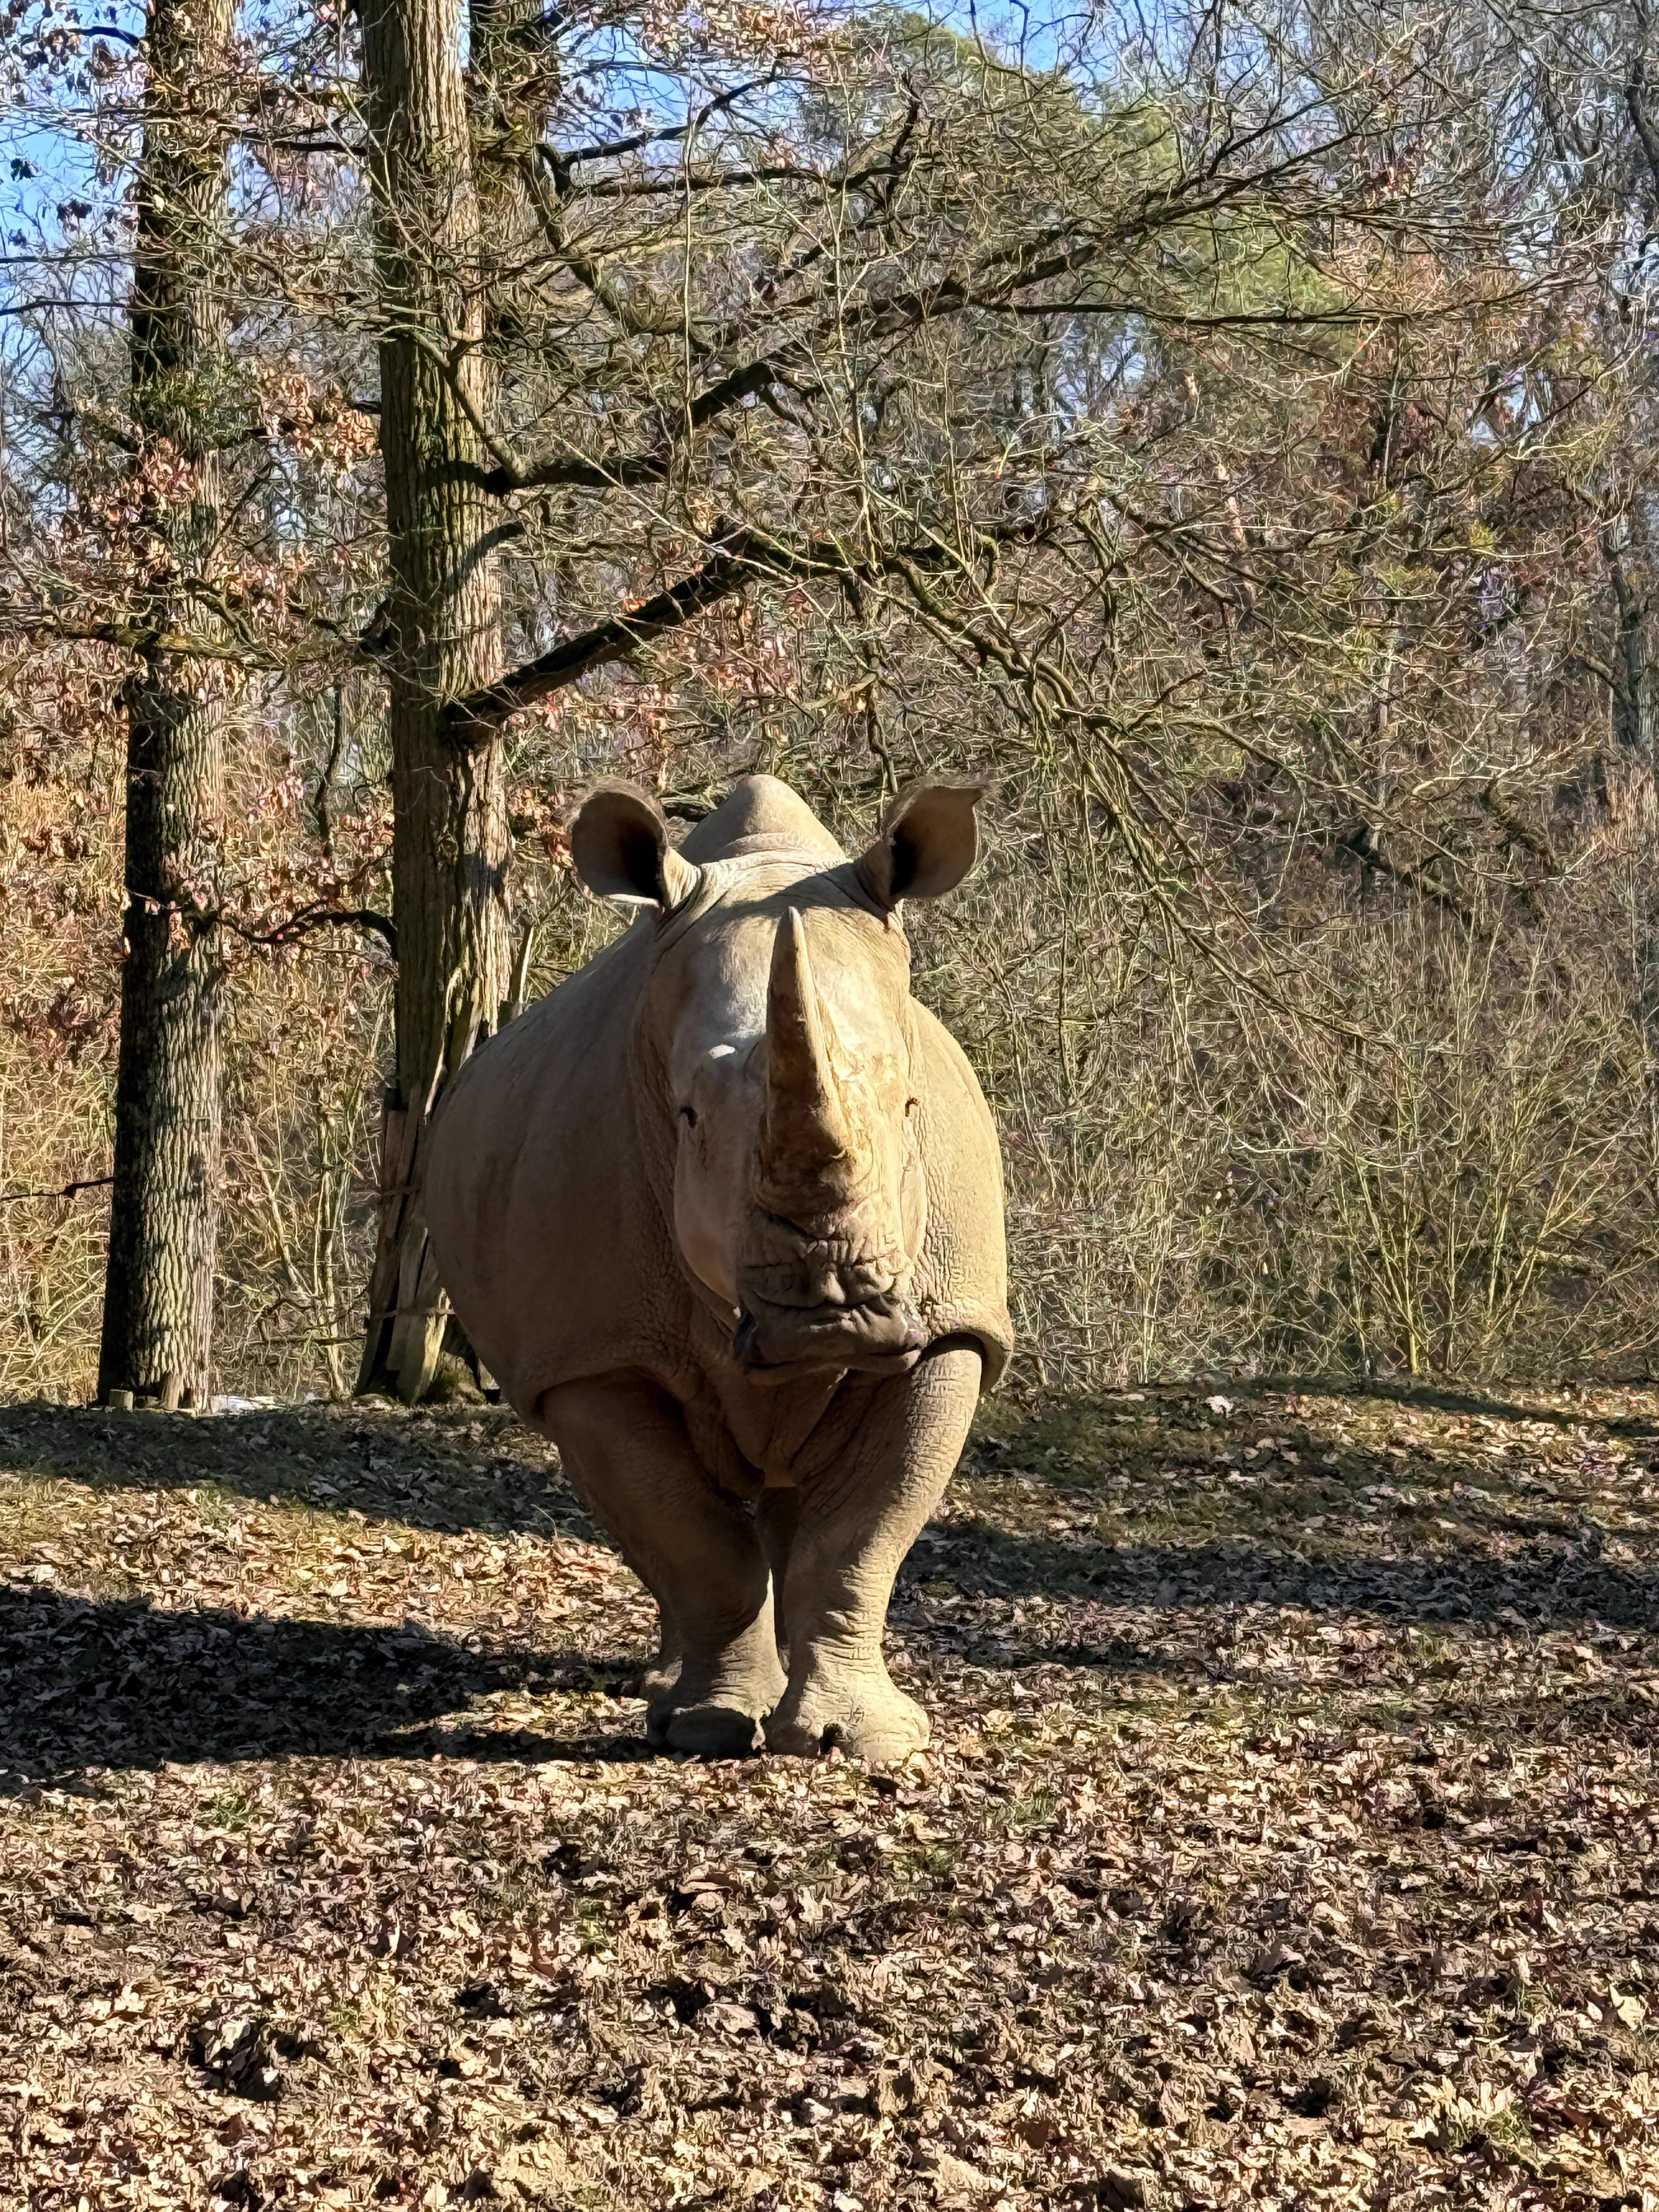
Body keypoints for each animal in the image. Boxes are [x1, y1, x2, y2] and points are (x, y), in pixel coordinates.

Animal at [426, 773, 1010, 1757]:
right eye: (689, 1116)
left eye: (907, 1106)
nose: (832, 1314)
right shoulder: (594, 1353)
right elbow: (689, 1537)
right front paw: (709, 1729)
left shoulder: (948, 1326)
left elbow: (860, 1537)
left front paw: (857, 1741)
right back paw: (670, 1692)